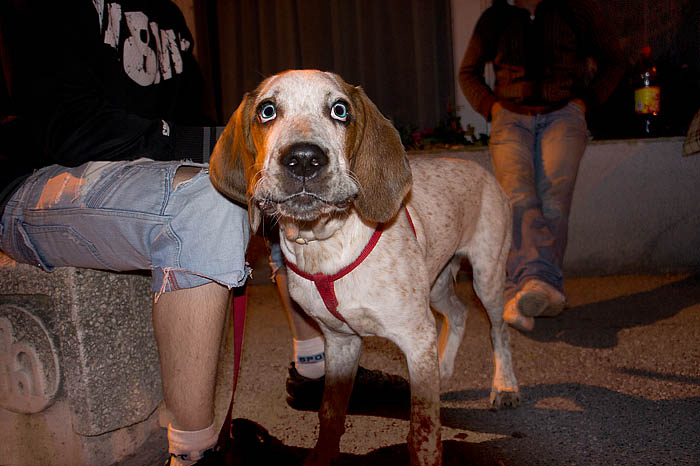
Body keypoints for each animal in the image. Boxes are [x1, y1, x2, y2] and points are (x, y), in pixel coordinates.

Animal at [211, 70, 516, 466]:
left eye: (340, 110)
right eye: (267, 111)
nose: (304, 159)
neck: (325, 245)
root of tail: (479, 167)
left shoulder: (416, 337)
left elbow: (424, 430)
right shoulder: (341, 341)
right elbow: (330, 412)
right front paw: (322, 457)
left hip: (487, 276)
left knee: (499, 330)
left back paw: (505, 386)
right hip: (435, 283)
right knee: (459, 313)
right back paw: (445, 369)